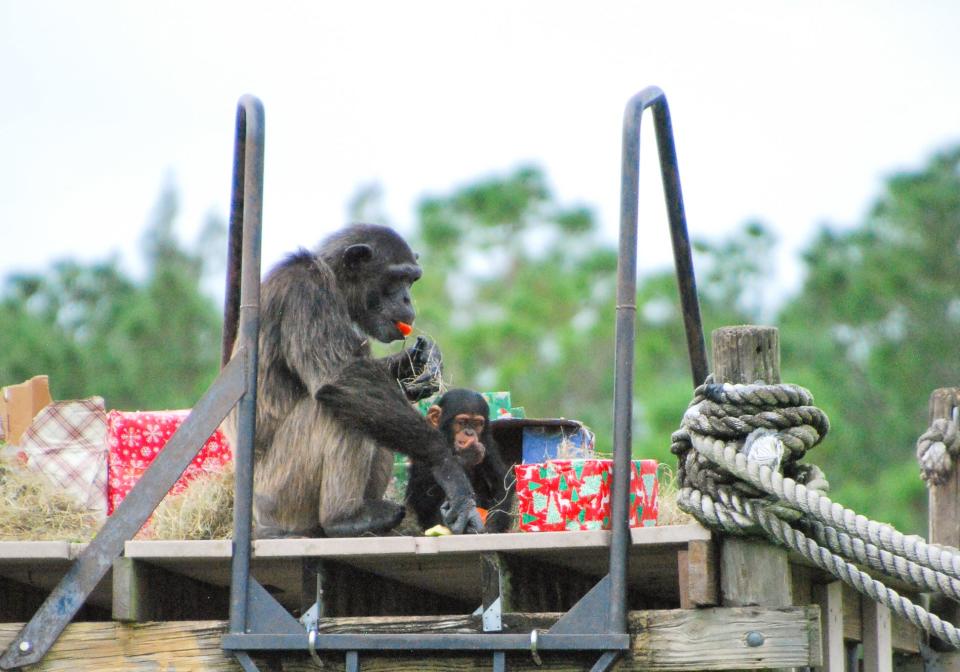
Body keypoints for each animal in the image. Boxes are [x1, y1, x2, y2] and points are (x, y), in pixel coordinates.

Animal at [237, 223, 484, 540]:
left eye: (412, 280)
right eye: (397, 278)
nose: (407, 299)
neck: (333, 281)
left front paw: (422, 361)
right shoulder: (306, 292)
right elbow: (343, 376)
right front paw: (449, 469)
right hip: (281, 494)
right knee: (337, 408)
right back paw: (346, 518)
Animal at [404, 392, 512, 532]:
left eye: (477, 424)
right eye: (462, 422)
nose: (469, 433)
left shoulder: (488, 445)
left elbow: (502, 482)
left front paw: (491, 527)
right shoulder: (425, 443)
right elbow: (422, 497)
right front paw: (468, 454)